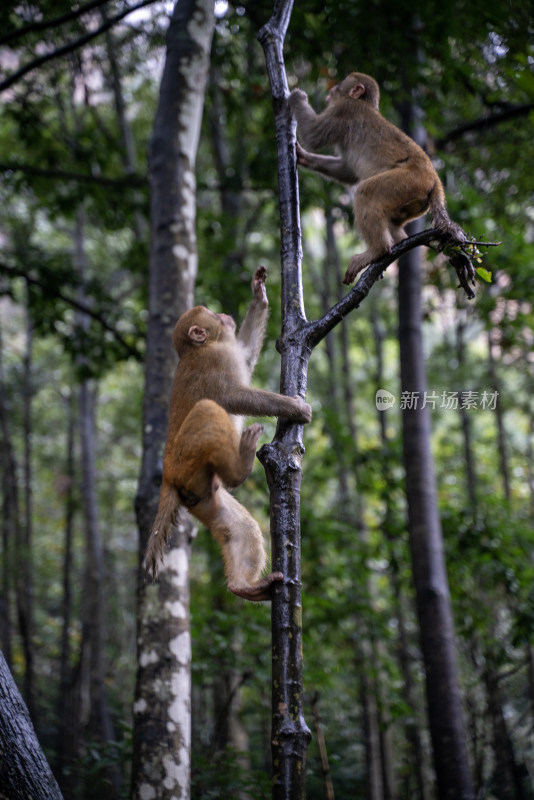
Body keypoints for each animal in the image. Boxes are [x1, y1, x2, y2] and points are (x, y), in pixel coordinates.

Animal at [288, 72, 464, 284]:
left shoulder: (343, 109)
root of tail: (435, 180)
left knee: (366, 191)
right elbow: (347, 171)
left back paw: (378, 251)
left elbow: (313, 136)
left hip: (408, 181)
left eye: (340, 85)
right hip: (413, 196)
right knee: (390, 219)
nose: (331, 90)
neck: (364, 103)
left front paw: (297, 97)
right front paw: (304, 157)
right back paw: (397, 243)